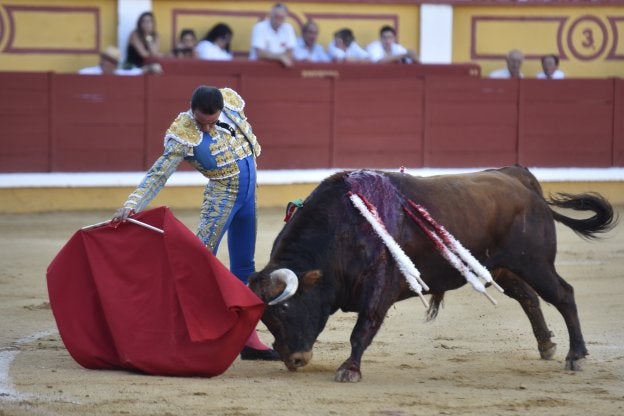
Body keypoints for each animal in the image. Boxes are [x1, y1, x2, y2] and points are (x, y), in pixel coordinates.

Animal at [246, 166, 616, 384]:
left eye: (285, 308)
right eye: (266, 319)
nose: (294, 359)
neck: (342, 228)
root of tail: (520, 180)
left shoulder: (381, 284)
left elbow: (363, 327)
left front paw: (349, 369)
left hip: (536, 263)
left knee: (563, 295)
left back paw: (575, 357)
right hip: (501, 267)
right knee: (529, 297)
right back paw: (546, 345)